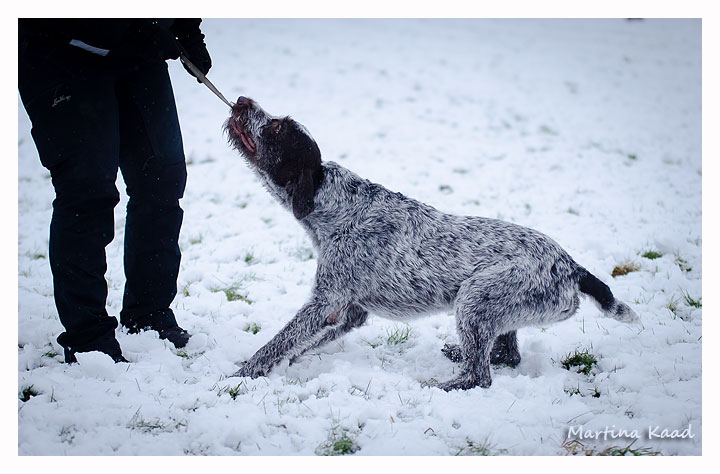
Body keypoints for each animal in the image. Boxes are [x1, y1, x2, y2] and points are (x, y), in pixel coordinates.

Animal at [225, 97, 638, 391]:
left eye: (276, 127)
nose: (242, 100)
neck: (336, 204)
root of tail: (573, 268)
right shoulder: (348, 310)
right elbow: (301, 343)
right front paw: (278, 366)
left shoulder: (325, 301)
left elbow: (278, 342)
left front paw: (241, 377)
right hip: (499, 307)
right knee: (506, 354)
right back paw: (463, 354)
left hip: (474, 298)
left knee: (480, 376)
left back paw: (440, 385)